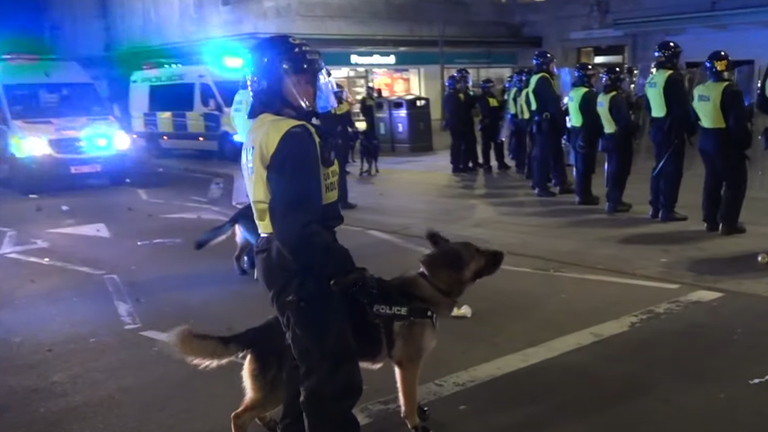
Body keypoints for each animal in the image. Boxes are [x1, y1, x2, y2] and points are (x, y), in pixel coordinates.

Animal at [166, 230, 508, 432]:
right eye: (478, 251)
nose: (503, 254)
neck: (428, 287)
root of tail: (259, 330)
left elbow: (411, 395)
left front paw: (419, 414)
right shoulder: (408, 364)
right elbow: (408, 397)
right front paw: (414, 421)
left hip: (277, 388)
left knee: (253, 409)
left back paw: (271, 423)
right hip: (277, 387)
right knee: (239, 416)